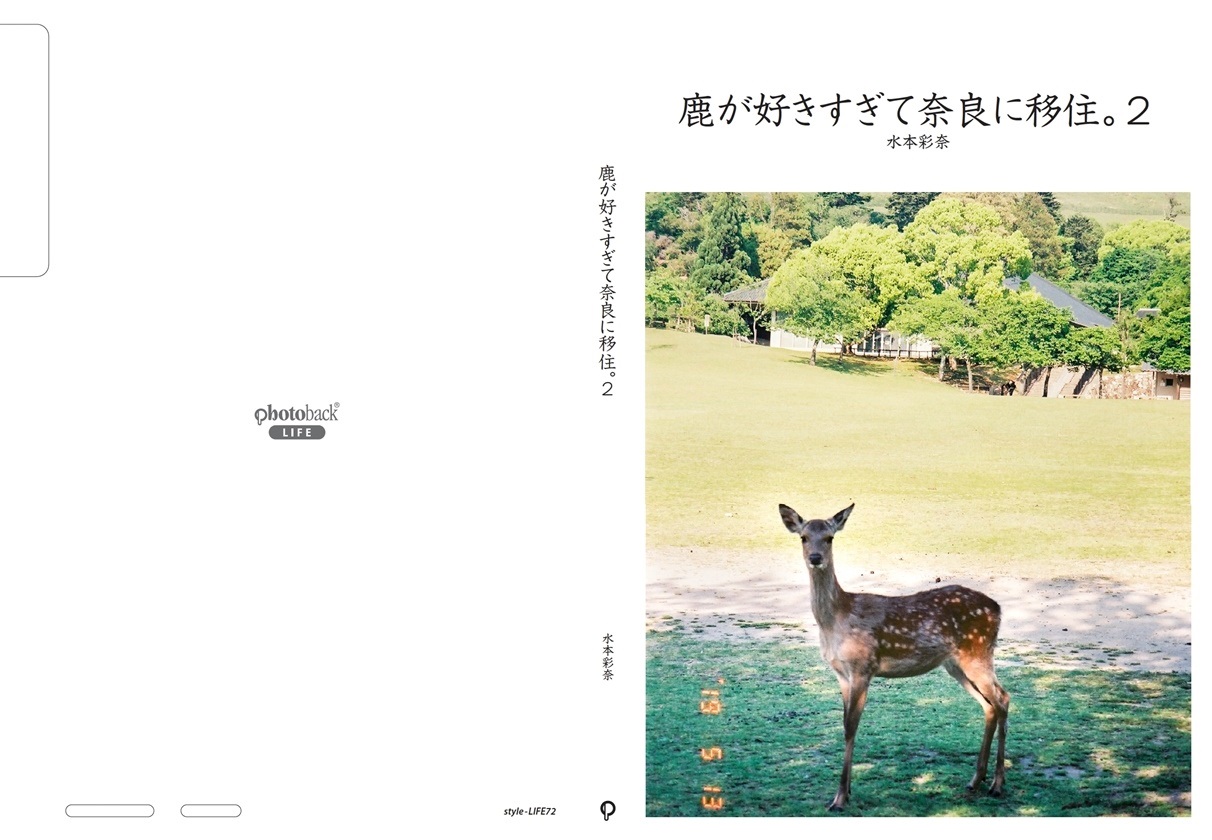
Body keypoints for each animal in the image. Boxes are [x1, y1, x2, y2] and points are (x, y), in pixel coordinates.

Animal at [779, 503, 1009, 812]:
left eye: (830, 538)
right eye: (803, 537)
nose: (816, 558)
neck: (835, 620)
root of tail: (998, 609)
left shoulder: (863, 666)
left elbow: (851, 727)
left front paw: (839, 798)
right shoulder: (841, 673)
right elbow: (845, 724)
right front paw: (846, 791)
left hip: (978, 653)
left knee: (1003, 698)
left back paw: (997, 785)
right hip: (955, 664)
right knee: (989, 705)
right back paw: (975, 780)